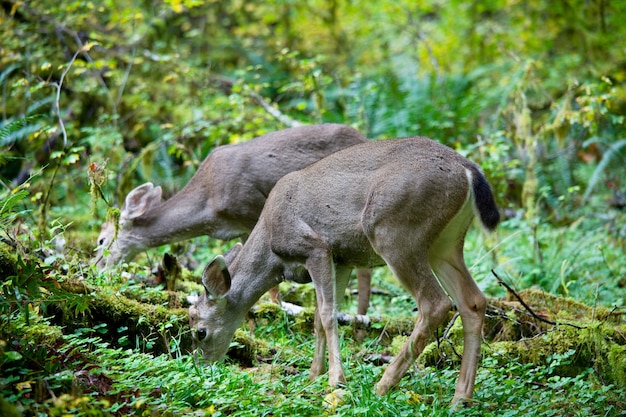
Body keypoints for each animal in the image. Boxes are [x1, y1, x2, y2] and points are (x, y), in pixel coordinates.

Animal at [188, 136, 500, 404]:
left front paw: (335, 379)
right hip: (445, 244)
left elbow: (327, 314)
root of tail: (467, 170)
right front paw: (313, 376)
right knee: (473, 301)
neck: (271, 245)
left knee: (435, 303)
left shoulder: (316, 247)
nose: (202, 366)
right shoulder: (342, 259)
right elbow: (318, 317)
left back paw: (383, 385)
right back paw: (460, 398)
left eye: (200, 332)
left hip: (395, 232)